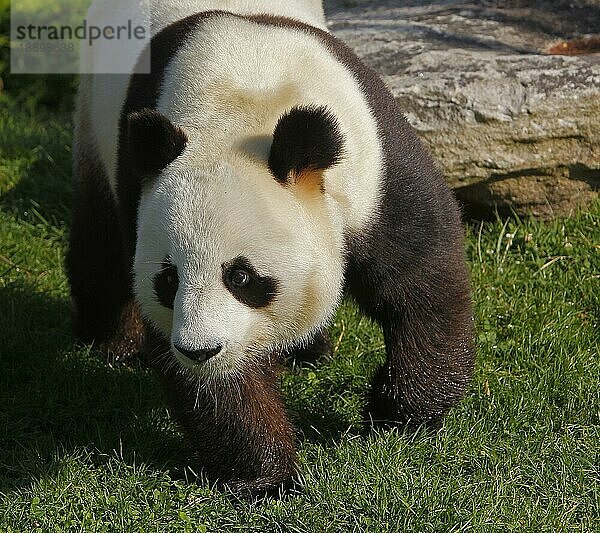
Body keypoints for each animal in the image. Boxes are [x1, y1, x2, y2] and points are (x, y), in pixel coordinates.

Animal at [65, 0, 476, 492]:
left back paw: (307, 352)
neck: (240, 109)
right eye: (168, 279)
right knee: (102, 249)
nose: (199, 350)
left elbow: (421, 280)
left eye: (241, 276)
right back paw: (117, 347)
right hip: (99, 126)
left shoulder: (373, 164)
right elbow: (219, 382)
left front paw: (397, 413)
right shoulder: (142, 187)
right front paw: (268, 477)